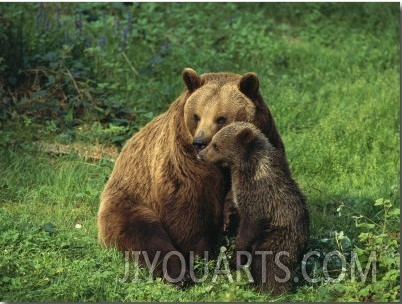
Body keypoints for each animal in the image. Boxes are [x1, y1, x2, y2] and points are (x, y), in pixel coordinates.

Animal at [97, 67, 286, 286]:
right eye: (196, 115)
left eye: (221, 118)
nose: (200, 142)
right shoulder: (184, 161)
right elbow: (190, 210)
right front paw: (199, 257)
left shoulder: (264, 142)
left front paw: (229, 217)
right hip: (130, 197)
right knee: (143, 233)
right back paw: (178, 273)